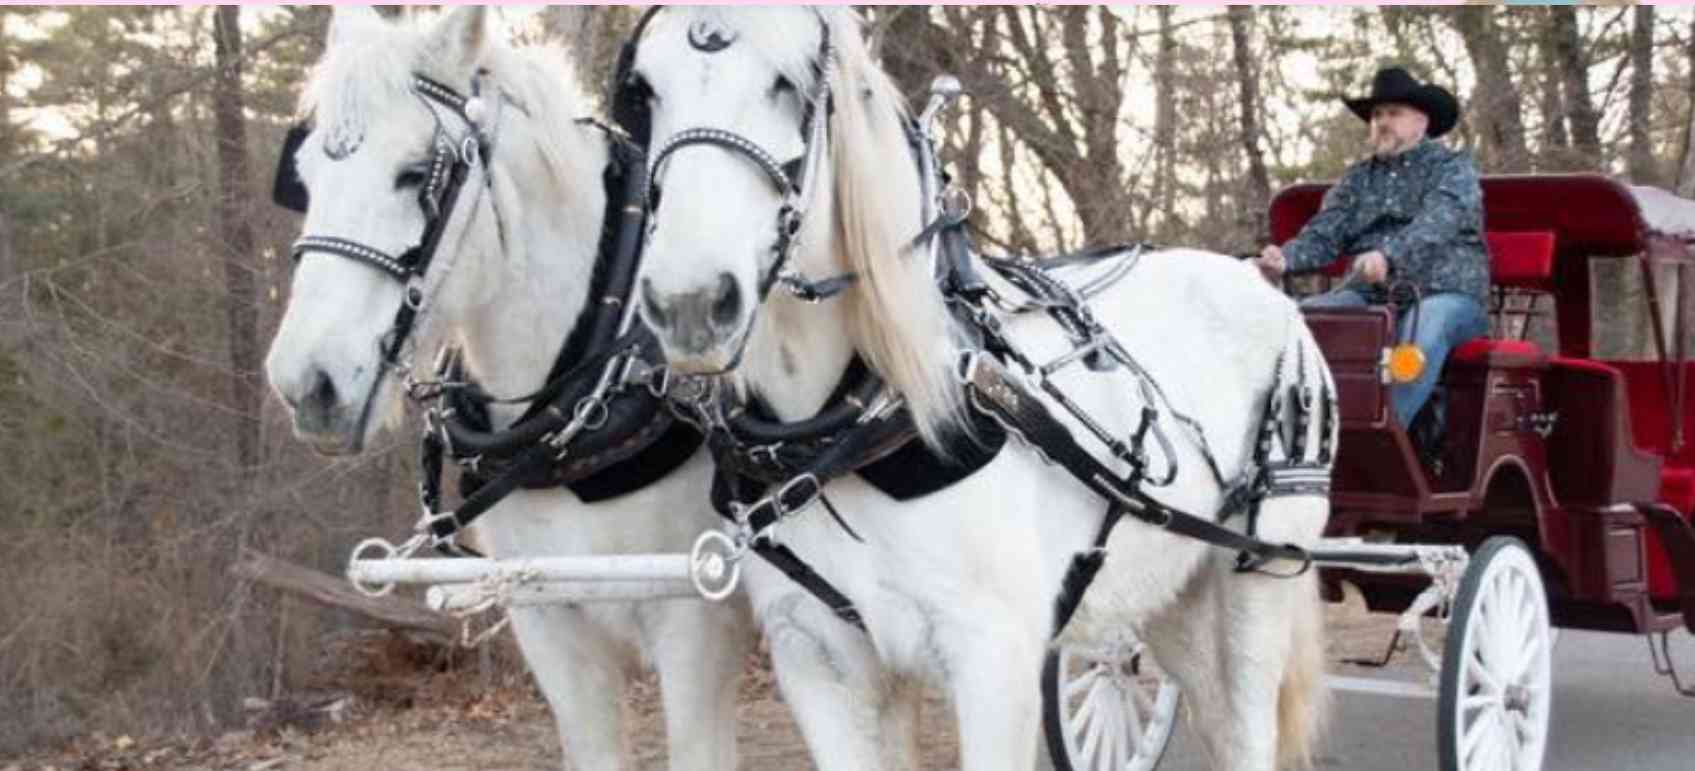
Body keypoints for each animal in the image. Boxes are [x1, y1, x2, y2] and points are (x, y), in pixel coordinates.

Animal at [623, 8, 1332, 770]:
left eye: (789, 84)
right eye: (647, 91)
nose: (689, 304)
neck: (863, 424)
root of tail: (1268, 287)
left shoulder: (995, 661)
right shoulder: (816, 658)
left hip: (1254, 582)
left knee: (1247, 725)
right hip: (1171, 594)